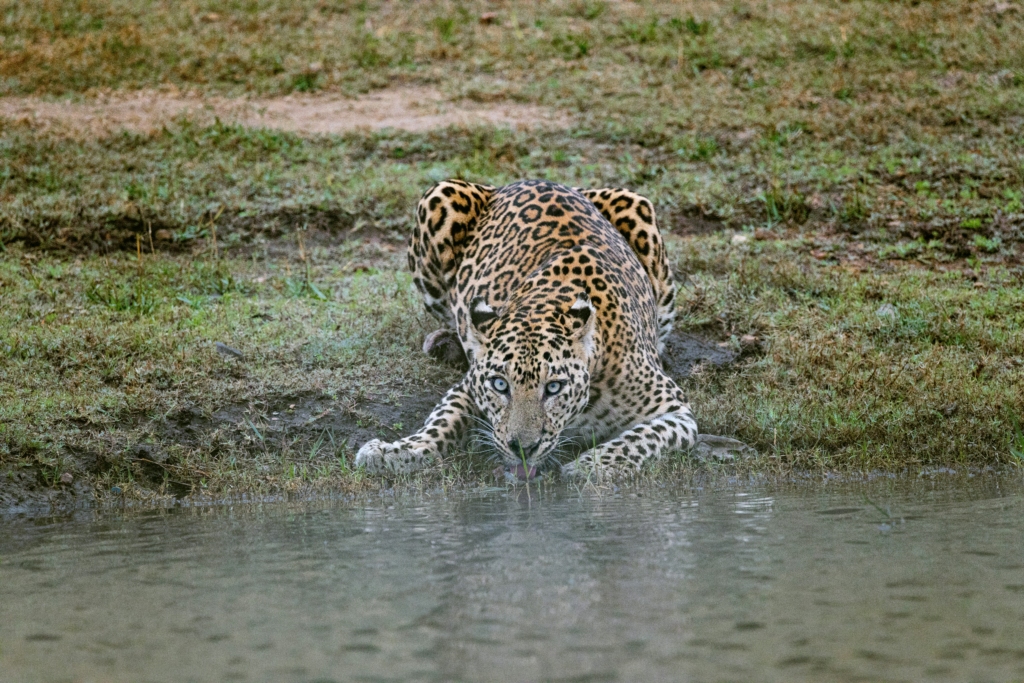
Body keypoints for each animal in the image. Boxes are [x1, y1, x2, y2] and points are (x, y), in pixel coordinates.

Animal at [356, 178, 700, 481]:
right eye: (499, 385)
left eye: (554, 387)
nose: (522, 448)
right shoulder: (468, 386)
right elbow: (441, 422)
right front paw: (395, 452)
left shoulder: (677, 412)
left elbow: (643, 438)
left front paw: (592, 466)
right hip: (439, 198)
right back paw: (446, 342)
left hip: (639, 211)